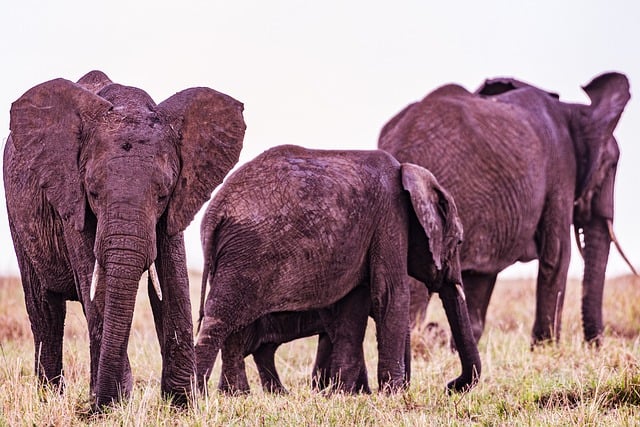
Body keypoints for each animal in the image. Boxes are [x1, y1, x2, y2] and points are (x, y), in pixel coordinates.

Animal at [3, 71, 246, 412]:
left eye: (163, 194)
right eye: (92, 192)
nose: (91, 408)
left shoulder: (178, 203)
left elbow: (174, 283)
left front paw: (183, 406)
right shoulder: (72, 198)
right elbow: (97, 285)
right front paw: (111, 406)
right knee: (45, 309)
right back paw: (48, 398)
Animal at [195, 145, 480, 396]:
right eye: (459, 242)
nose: (450, 386)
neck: (408, 172)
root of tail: (214, 212)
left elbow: (350, 311)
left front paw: (344, 394)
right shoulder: (390, 218)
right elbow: (391, 294)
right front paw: (391, 395)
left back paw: (236, 395)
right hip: (247, 252)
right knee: (221, 318)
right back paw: (196, 396)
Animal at [378, 72, 632, 348]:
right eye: (611, 166)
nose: (594, 346)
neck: (575, 110)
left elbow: (482, 274)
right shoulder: (561, 171)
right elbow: (557, 255)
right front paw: (545, 348)